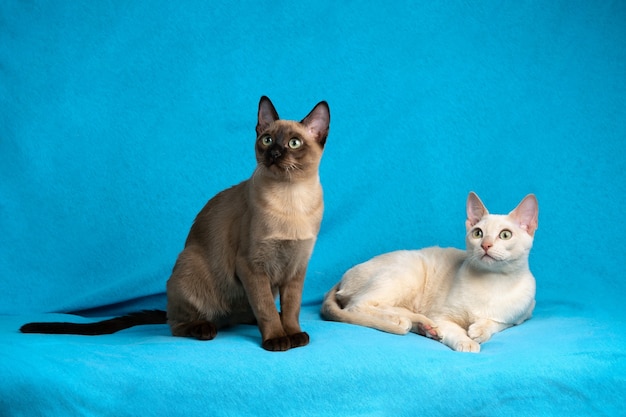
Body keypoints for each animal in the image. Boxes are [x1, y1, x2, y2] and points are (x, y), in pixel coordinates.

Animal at [21, 97, 330, 352]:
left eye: (293, 143)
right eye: (267, 140)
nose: (274, 154)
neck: (292, 198)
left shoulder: (297, 267)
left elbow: (291, 308)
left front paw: (293, 335)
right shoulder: (251, 266)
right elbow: (266, 306)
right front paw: (277, 340)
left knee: (241, 315)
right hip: (190, 264)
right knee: (178, 324)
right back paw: (205, 328)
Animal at [322, 192, 536, 352]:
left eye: (505, 235)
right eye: (478, 233)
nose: (485, 245)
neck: (494, 282)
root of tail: (340, 280)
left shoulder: (521, 316)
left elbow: (496, 323)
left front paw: (478, 330)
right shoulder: (442, 316)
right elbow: (455, 330)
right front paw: (467, 342)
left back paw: (424, 327)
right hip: (408, 271)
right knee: (357, 306)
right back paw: (401, 321)